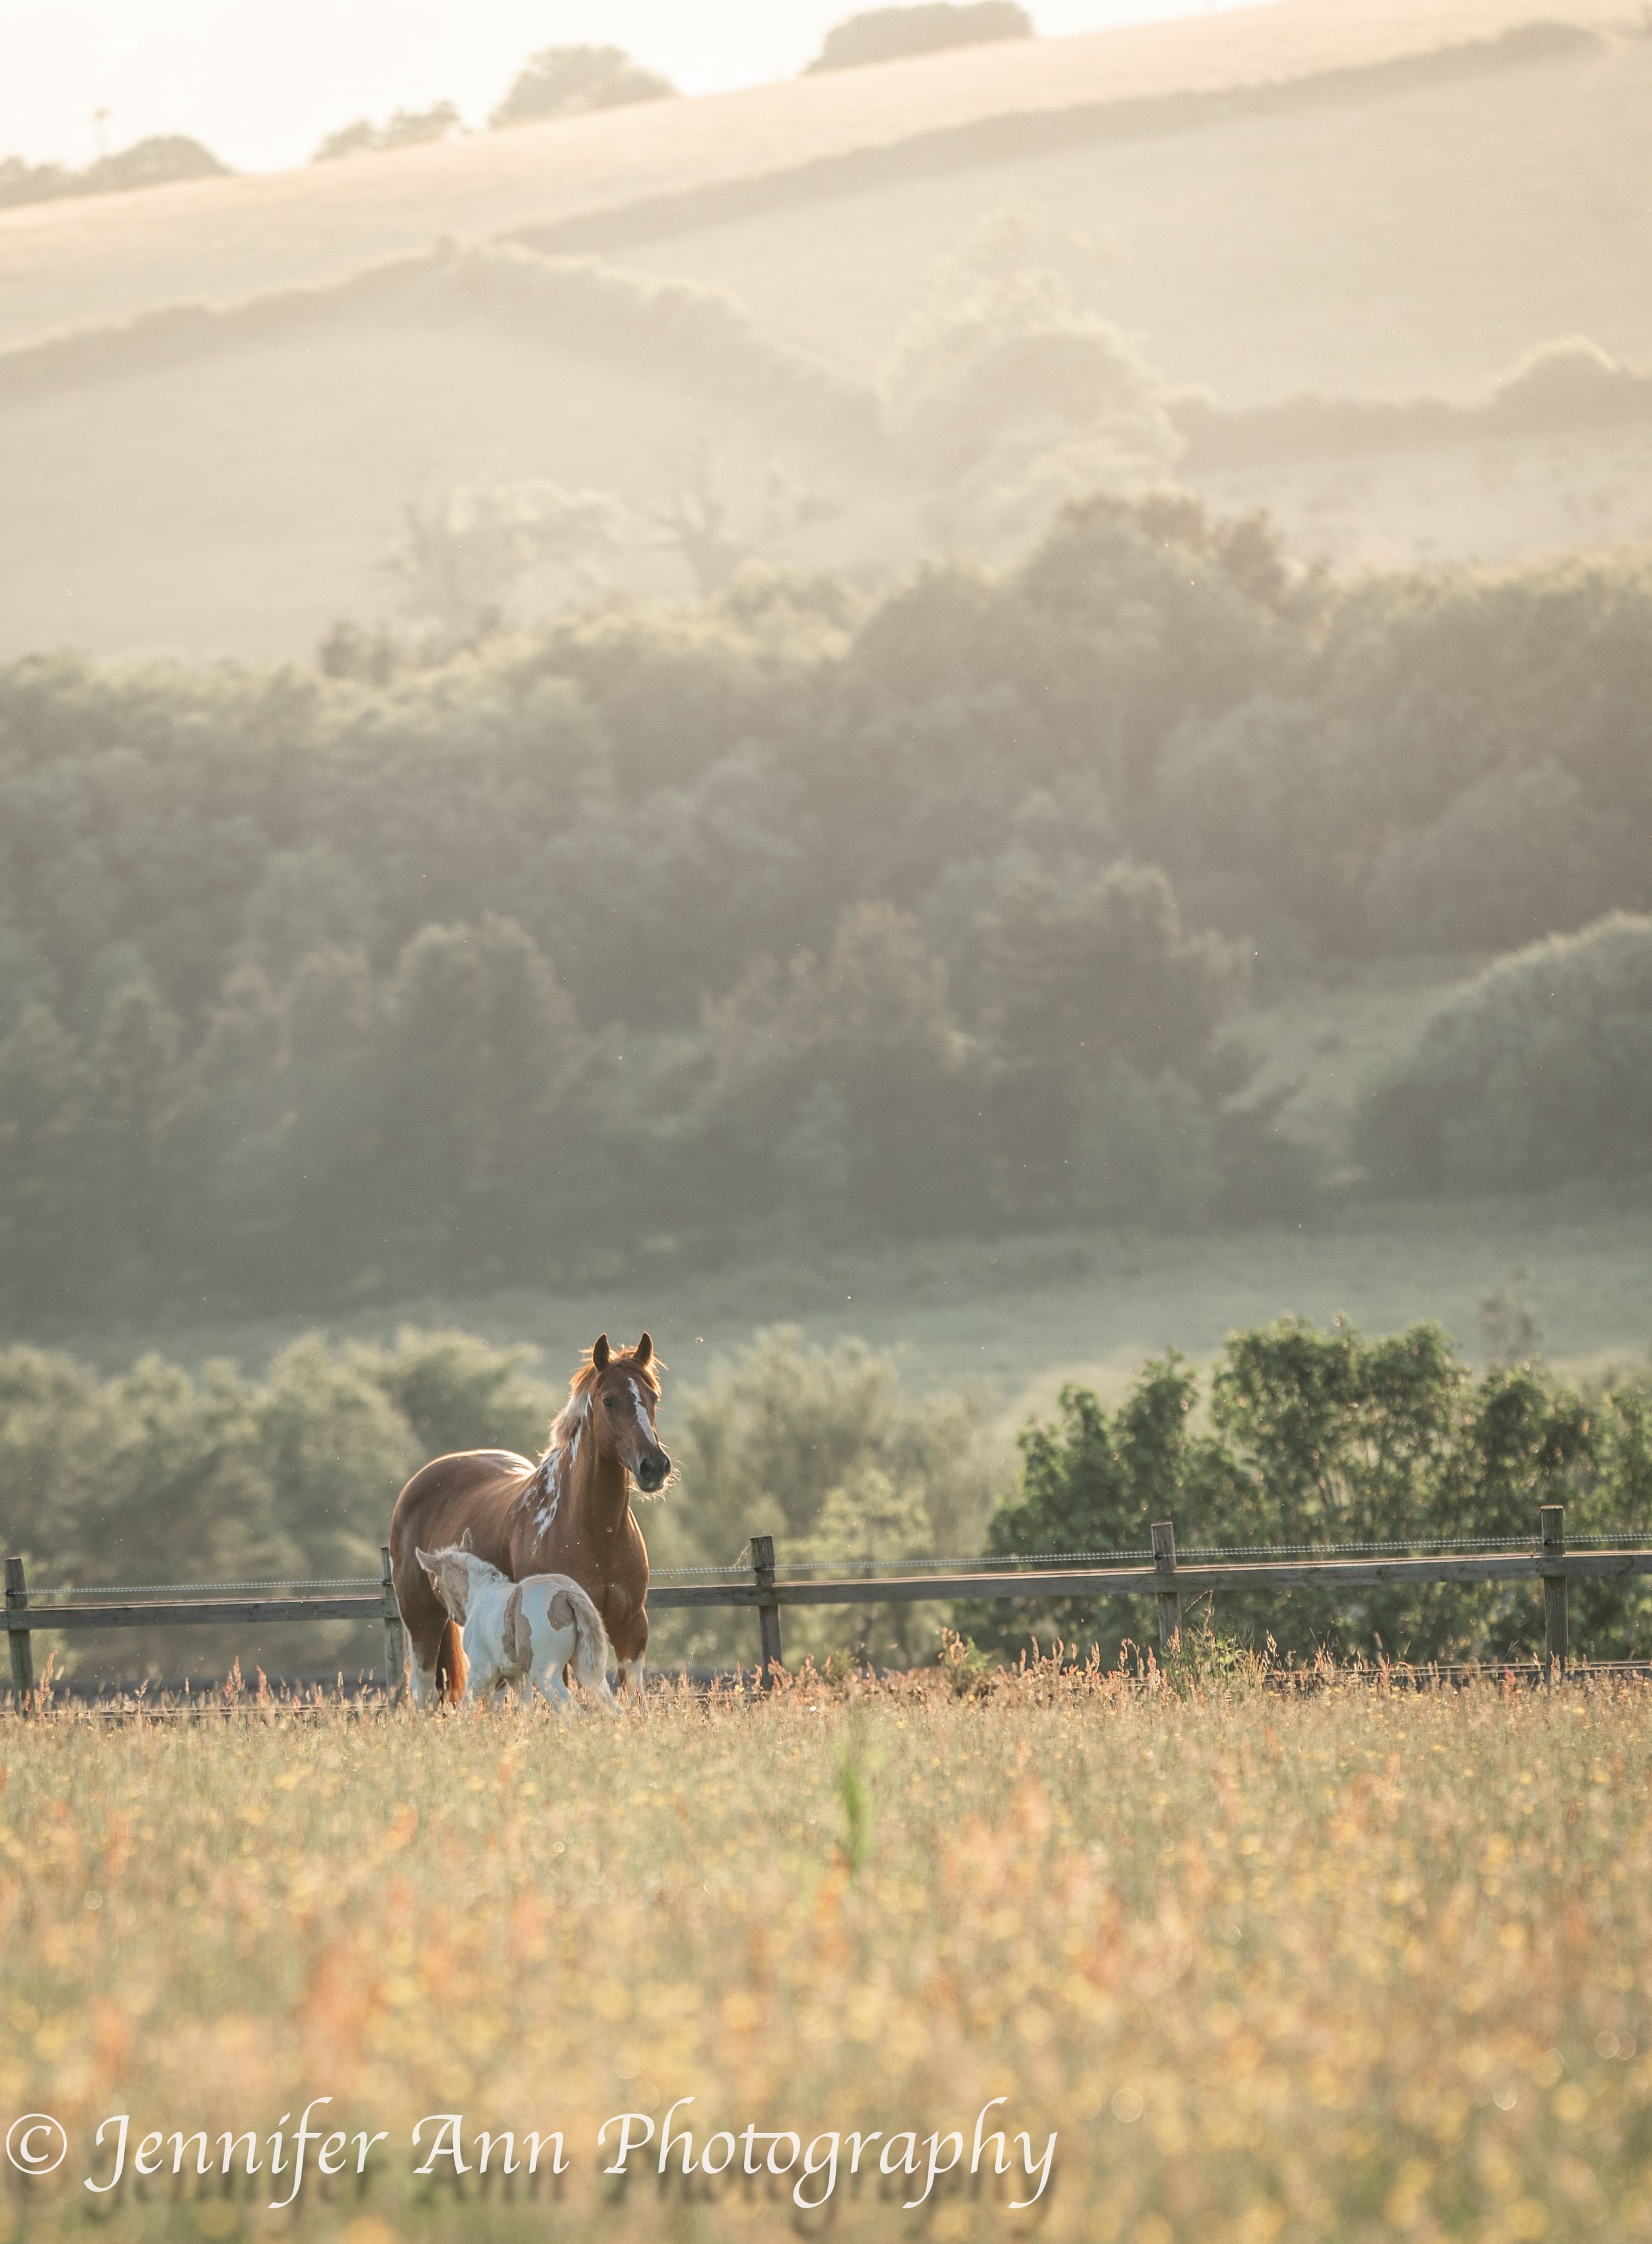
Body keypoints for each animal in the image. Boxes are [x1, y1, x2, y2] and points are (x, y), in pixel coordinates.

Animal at [415, 1544, 614, 1711]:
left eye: (437, 1586)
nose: (456, 1618)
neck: (481, 1594)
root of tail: (566, 1594)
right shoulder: (517, 1676)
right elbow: (525, 1709)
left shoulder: (481, 1672)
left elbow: (465, 1708)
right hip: (588, 1671)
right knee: (611, 1707)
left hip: (547, 1677)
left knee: (572, 1711)